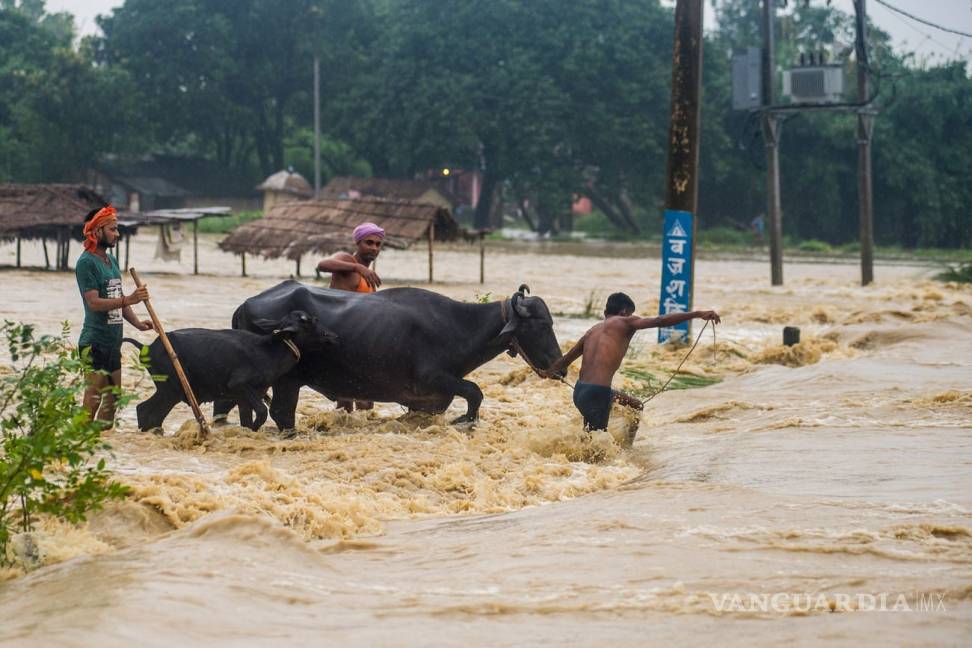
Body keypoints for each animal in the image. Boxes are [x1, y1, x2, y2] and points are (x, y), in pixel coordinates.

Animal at [123, 310, 336, 432]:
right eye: (310, 322)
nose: (332, 336)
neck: (267, 351)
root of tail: (146, 346)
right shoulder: (240, 386)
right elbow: (262, 411)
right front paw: (256, 428)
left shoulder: (245, 398)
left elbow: (248, 420)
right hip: (171, 390)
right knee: (145, 410)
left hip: (169, 391)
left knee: (149, 413)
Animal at [213, 282, 560, 430]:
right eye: (543, 325)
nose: (559, 367)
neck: (459, 325)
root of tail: (246, 305)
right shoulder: (434, 378)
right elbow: (475, 392)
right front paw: (466, 419)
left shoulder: (427, 400)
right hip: (285, 380)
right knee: (279, 413)